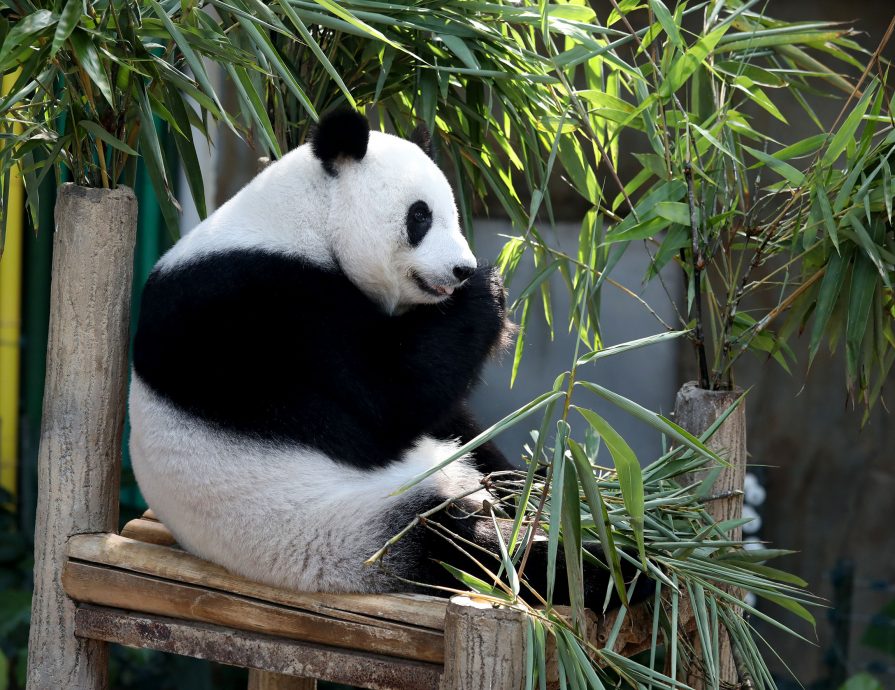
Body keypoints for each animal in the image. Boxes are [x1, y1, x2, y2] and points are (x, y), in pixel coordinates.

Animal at [131, 109, 636, 608]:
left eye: (453, 213)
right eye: (420, 216)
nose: (462, 270)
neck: (303, 221)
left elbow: (447, 414)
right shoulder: (260, 307)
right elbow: (385, 404)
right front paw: (486, 290)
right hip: (348, 524)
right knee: (467, 549)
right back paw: (608, 567)